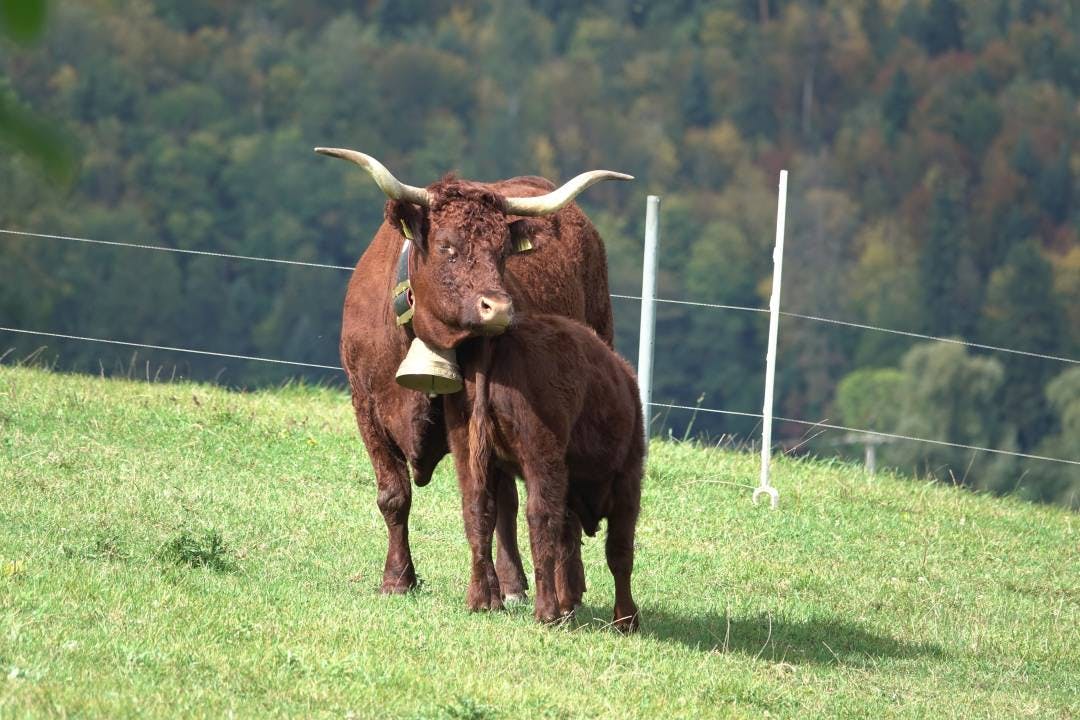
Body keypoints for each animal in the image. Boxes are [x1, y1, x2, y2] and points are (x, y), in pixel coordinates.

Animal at [315, 147, 630, 603]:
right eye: (447, 245)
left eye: (502, 252)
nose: (498, 307)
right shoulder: (365, 405)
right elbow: (393, 496)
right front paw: (397, 578)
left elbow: (487, 503)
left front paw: (494, 590)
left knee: (511, 500)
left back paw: (524, 584)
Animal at [443, 314, 644, 631]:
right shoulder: (628, 481)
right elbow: (619, 552)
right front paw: (626, 619)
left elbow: (567, 543)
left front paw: (570, 605)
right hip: (542, 458)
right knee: (540, 518)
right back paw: (547, 612)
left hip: (469, 451)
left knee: (477, 511)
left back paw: (481, 601)